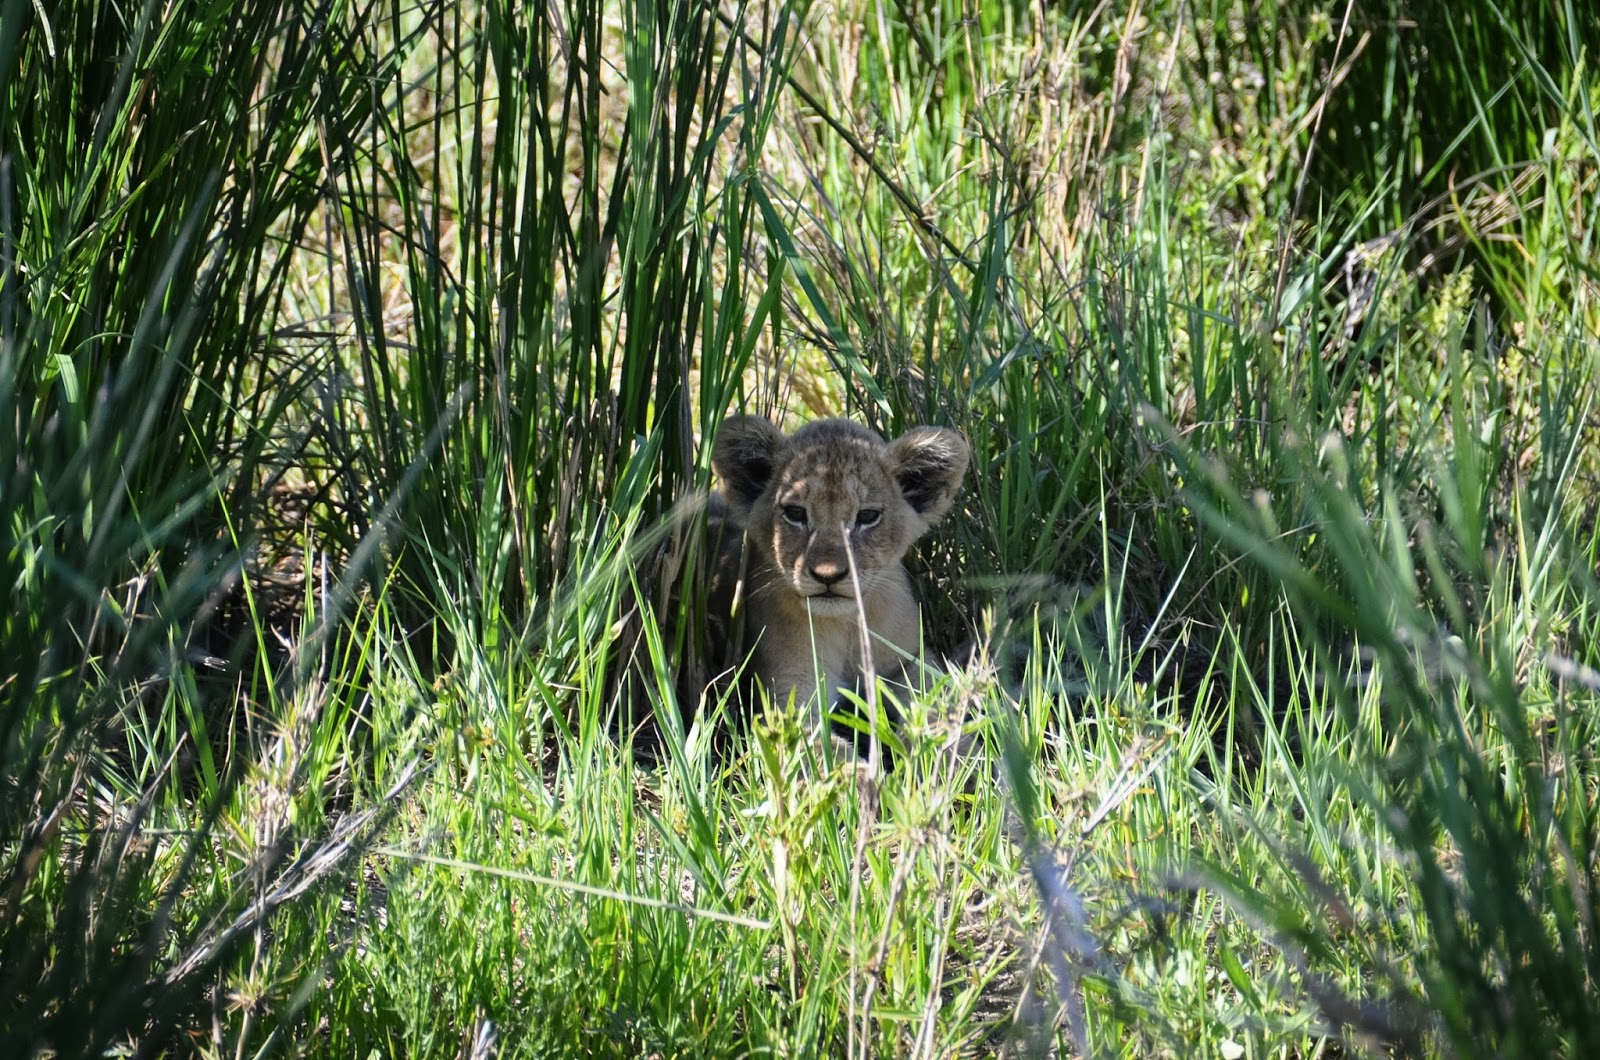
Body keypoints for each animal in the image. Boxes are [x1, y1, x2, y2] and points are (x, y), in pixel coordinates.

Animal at [709, 415, 970, 730]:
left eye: (867, 516)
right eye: (795, 513)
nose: (828, 576)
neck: (846, 625)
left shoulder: (911, 659)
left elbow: (935, 701)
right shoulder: (790, 696)